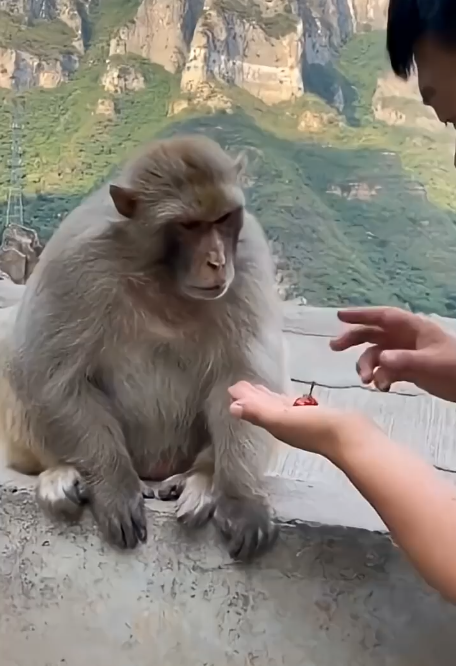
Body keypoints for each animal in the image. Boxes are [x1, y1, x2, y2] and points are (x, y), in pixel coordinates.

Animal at [0, 135, 290, 561]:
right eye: (188, 225)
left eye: (223, 219)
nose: (217, 261)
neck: (161, 276)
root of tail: (152, 471)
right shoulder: (76, 259)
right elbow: (48, 373)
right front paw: (114, 486)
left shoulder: (249, 257)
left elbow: (246, 379)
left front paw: (241, 498)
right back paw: (61, 473)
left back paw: (202, 478)